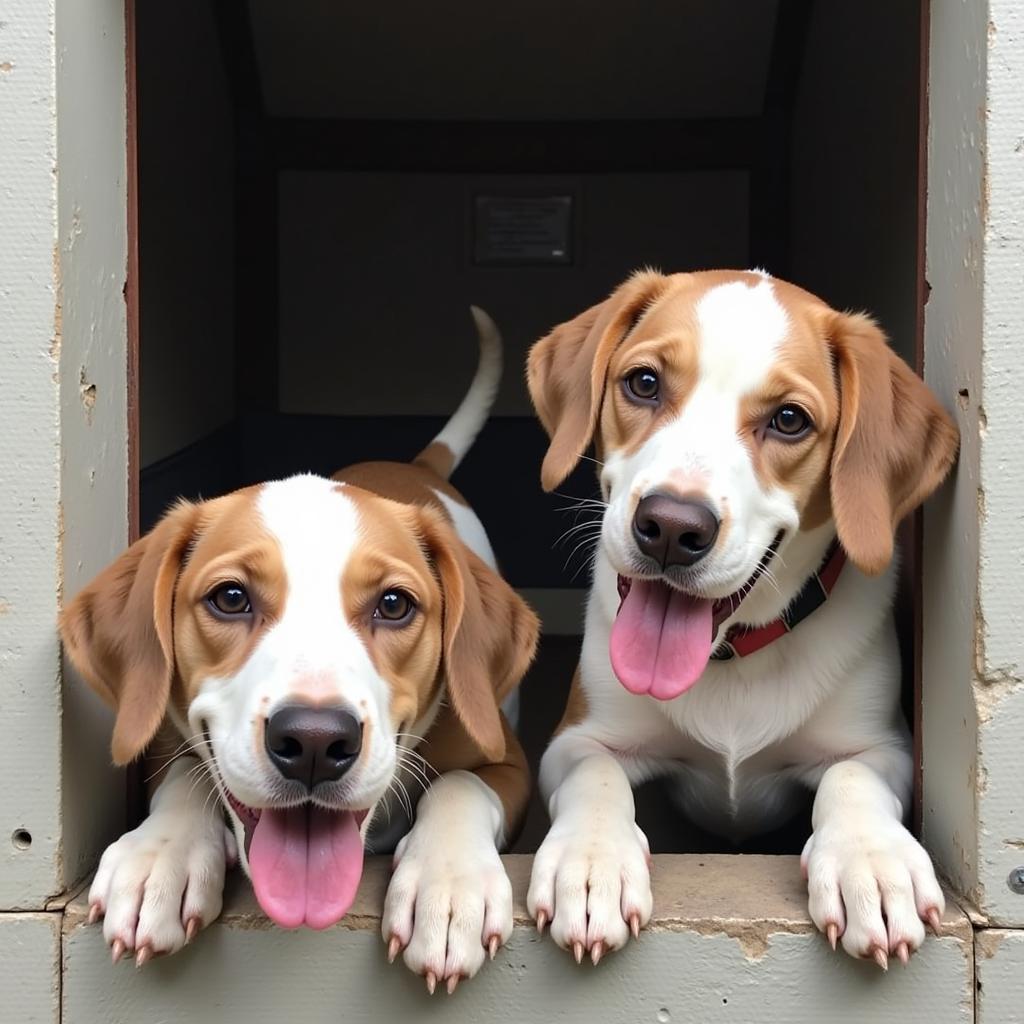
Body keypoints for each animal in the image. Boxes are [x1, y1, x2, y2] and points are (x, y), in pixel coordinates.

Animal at [59, 305, 540, 991]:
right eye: (230, 598)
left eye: (395, 605)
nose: (315, 742)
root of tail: (417, 467)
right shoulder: (158, 744)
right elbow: (185, 775)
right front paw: (160, 856)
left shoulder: (511, 766)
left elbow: (460, 785)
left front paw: (448, 884)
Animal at [528, 270, 958, 966]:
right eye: (643, 383)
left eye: (789, 420)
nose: (671, 528)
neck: (732, 657)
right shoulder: (576, 739)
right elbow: (598, 773)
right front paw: (590, 864)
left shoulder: (882, 747)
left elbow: (849, 775)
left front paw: (873, 865)